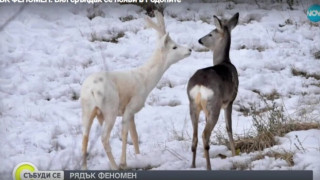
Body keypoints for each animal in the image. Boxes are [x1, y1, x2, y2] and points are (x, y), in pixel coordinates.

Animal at [80, 11, 191, 170]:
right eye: (174, 47)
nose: (189, 49)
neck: (145, 79)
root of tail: (91, 90)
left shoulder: (131, 112)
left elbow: (135, 135)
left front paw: (139, 156)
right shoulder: (131, 106)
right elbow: (125, 134)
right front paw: (124, 162)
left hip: (88, 109)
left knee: (85, 136)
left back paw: (84, 167)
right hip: (110, 108)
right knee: (104, 138)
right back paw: (115, 166)